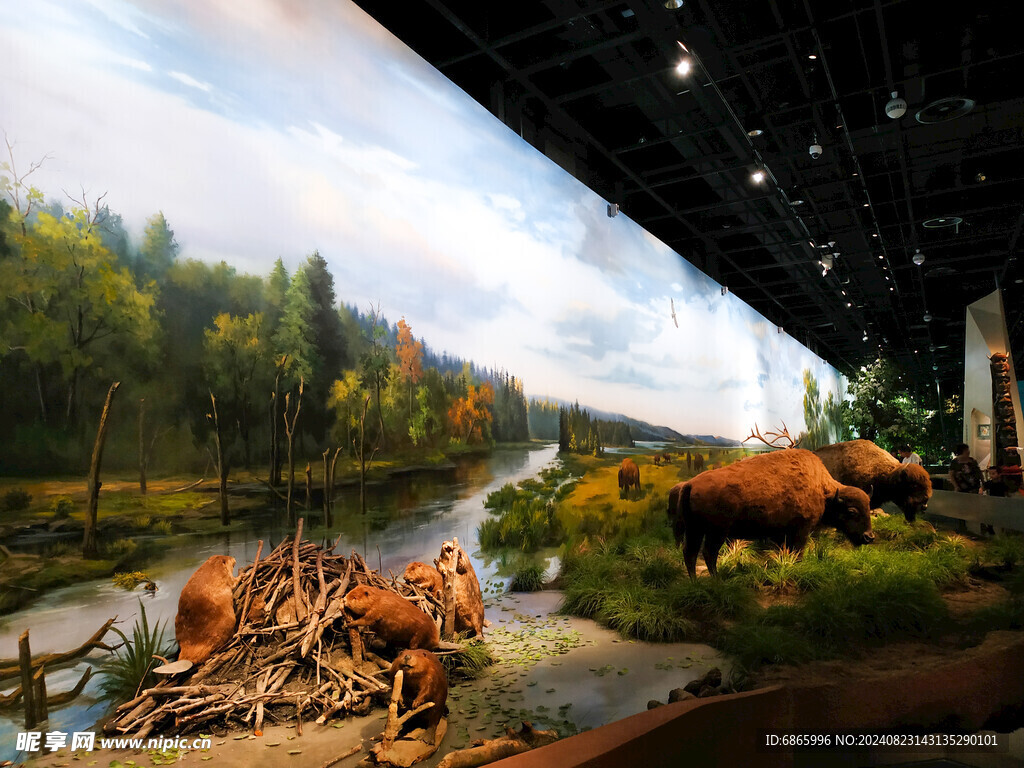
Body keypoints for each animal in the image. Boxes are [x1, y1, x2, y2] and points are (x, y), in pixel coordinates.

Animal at [667, 450, 876, 577]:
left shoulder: (783, 534)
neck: (823, 489)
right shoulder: (801, 531)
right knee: (708, 553)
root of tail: (690, 484)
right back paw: (718, 581)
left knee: (690, 553)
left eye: (869, 509)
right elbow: (797, 554)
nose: (869, 537)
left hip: (695, 529)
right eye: (852, 511)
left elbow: (786, 552)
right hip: (716, 532)